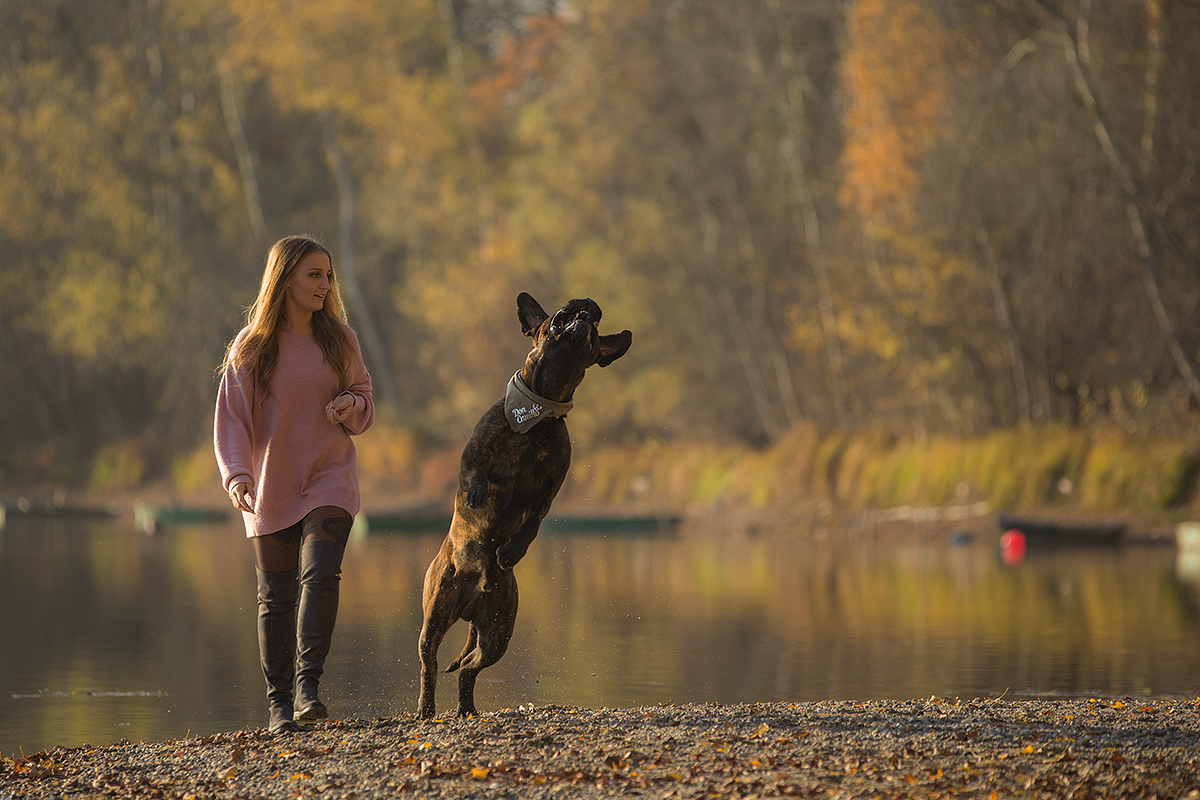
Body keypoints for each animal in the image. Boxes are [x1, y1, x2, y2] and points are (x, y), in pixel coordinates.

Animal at [417, 292, 633, 719]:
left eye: (596, 327)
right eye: (561, 316)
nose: (587, 307)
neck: (540, 408)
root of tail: (469, 606)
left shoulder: (549, 491)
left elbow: (531, 523)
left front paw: (512, 550)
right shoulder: (472, 456)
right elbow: (473, 475)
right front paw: (477, 497)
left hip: (497, 632)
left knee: (469, 668)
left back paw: (467, 708)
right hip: (435, 615)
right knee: (429, 663)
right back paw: (426, 708)